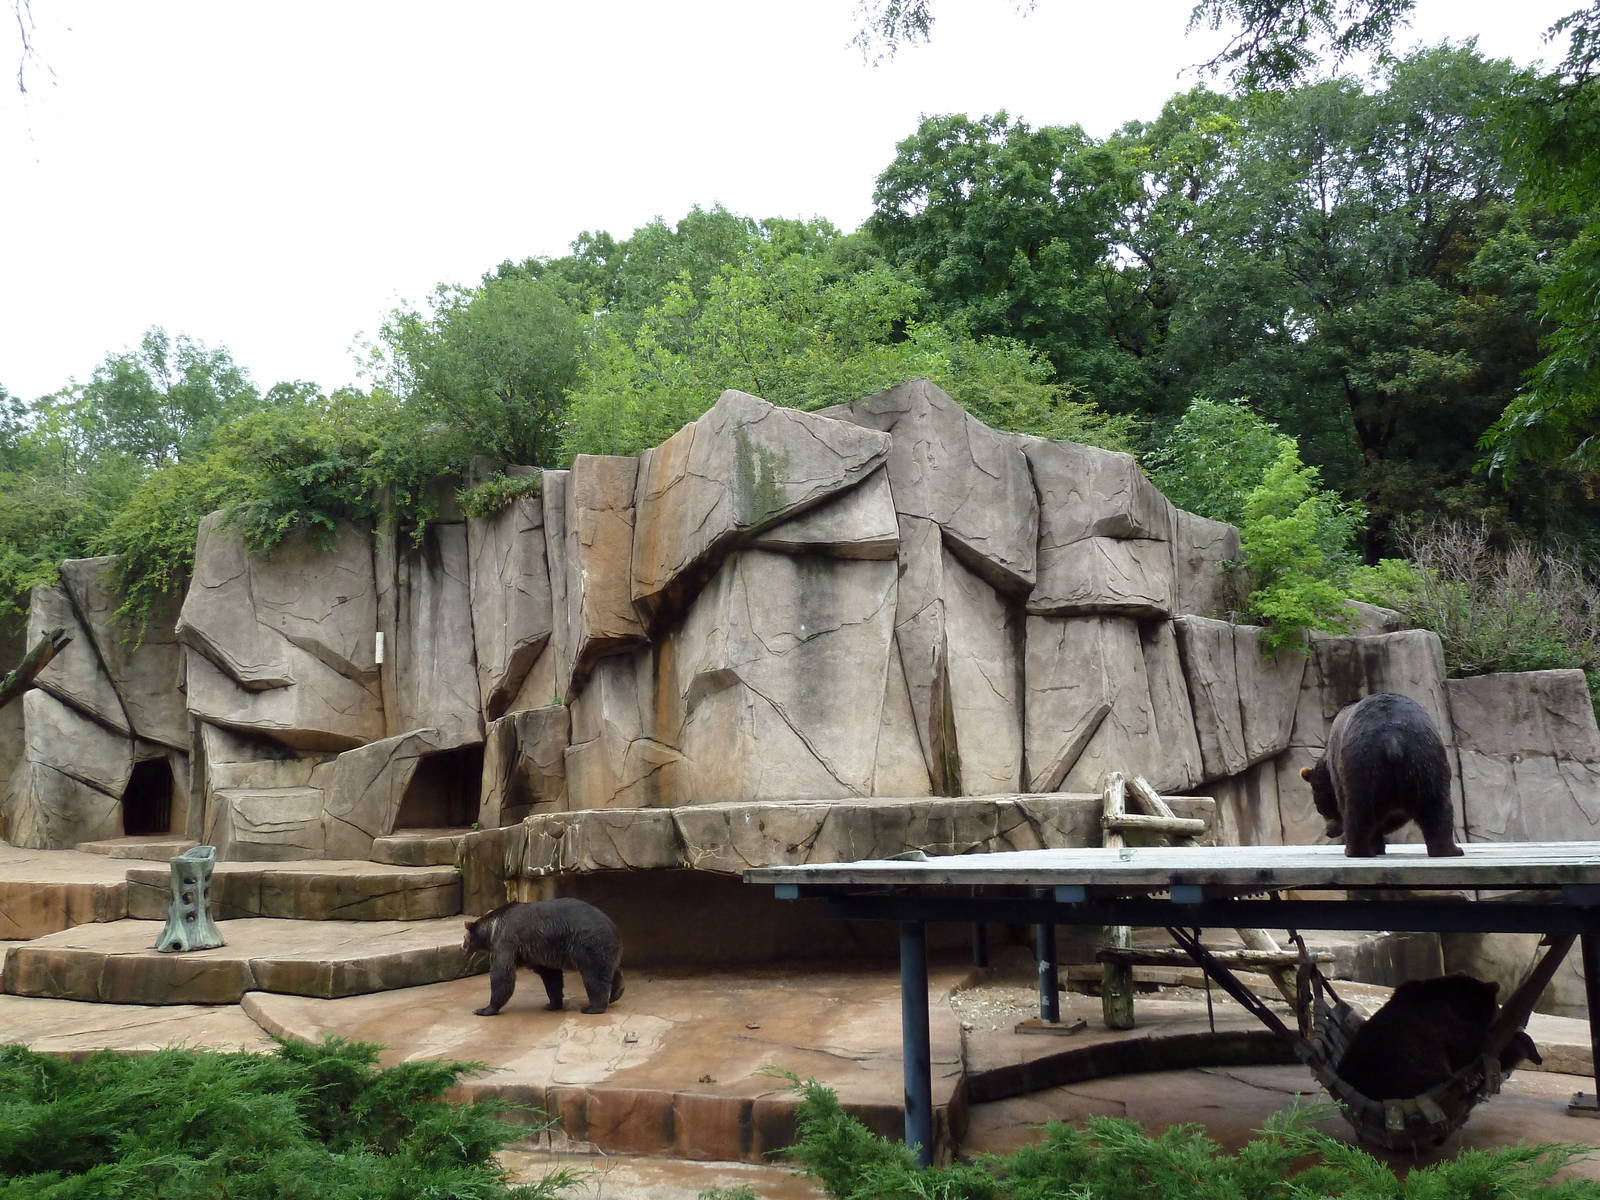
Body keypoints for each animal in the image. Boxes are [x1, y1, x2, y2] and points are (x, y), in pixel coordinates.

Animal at [461, 898, 624, 1016]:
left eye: (464, 937)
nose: (462, 947)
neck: (492, 929)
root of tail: (614, 926)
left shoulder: (506, 940)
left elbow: (502, 974)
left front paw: (483, 1009)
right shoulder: (539, 950)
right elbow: (551, 976)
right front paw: (552, 1004)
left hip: (588, 944)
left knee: (594, 976)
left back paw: (593, 1007)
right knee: (612, 970)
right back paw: (615, 994)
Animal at [1299, 691, 1463, 858]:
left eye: (1321, 808)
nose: (1329, 832)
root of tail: (1393, 739)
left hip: (1363, 762)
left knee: (1359, 809)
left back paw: (1355, 850)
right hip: (1426, 758)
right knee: (1437, 806)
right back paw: (1449, 850)